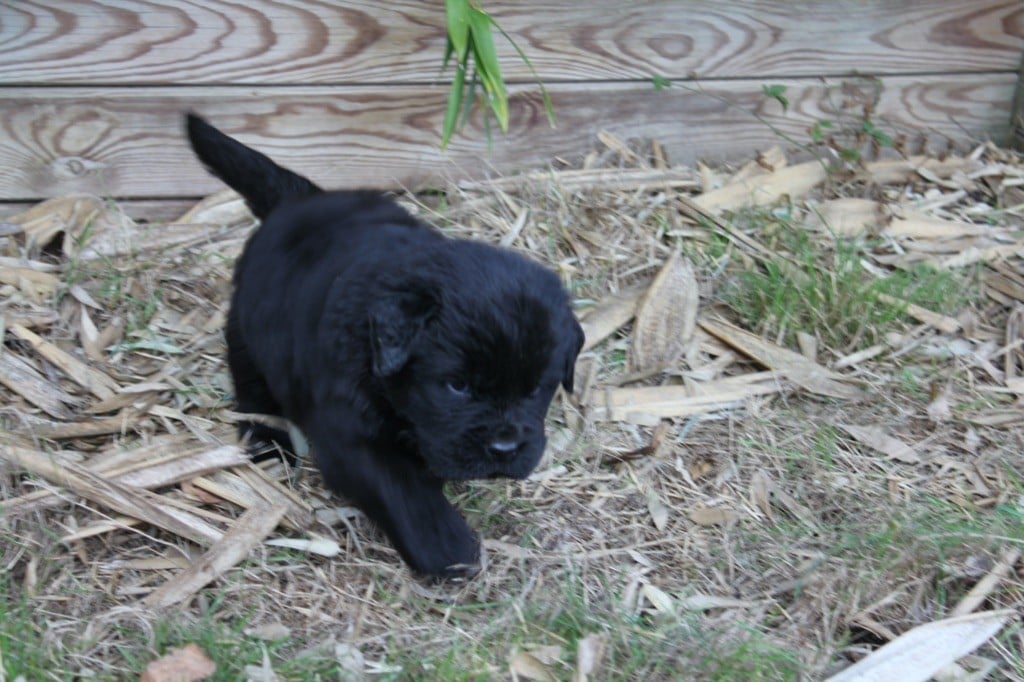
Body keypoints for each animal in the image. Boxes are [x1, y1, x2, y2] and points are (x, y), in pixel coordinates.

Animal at [185, 114, 585, 577]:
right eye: (457, 387)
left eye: (536, 389)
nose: (504, 449)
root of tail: (298, 199)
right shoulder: (350, 439)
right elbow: (402, 490)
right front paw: (447, 549)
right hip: (247, 330)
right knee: (250, 382)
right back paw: (266, 439)